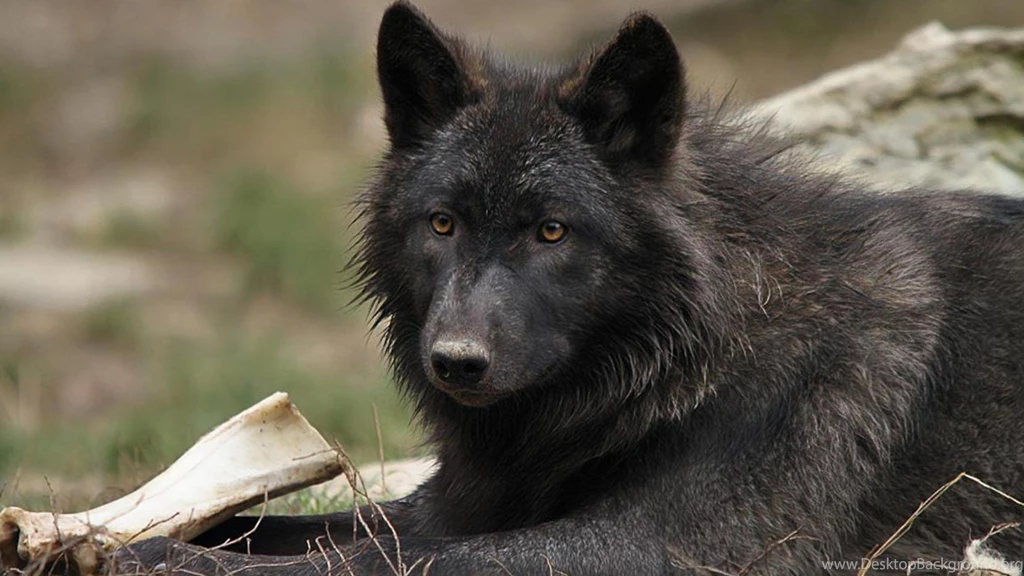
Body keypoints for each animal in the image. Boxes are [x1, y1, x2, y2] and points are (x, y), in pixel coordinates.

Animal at [115, 1, 1024, 575]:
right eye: (442, 224)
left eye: (551, 231)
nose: (456, 361)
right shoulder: (459, 500)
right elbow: (274, 527)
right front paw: (125, 544)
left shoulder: (666, 545)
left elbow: (386, 560)